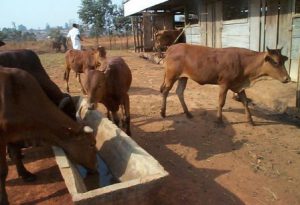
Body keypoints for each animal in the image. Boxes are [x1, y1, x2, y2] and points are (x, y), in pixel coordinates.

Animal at [0, 66, 96, 205]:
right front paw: (4, 200)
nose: (95, 167)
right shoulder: (2, 138)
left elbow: (16, 155)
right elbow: (3, 171)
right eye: (91, 144)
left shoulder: (13, 135)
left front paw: (26, 174)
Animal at [161, 43, 290, 125]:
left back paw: (187, 113)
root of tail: (172, 47)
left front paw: (250, 120)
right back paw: (163, 113)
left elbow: (245, 102)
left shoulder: (239, 85)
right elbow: (221, 102)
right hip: (171, 76)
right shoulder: (224, 83)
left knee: (179, 92)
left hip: (183, 77)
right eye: (275, 62)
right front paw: (219, 120)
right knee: (165, 91)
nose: (288, 78)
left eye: (283, 61)